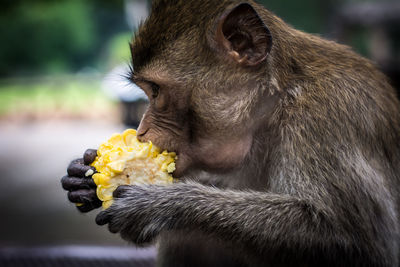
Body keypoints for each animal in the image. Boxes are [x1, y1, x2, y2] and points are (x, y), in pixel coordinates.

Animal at [61, 1, 400, 266]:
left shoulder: (326, 115)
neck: (277, 103)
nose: (142, 130)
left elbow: (351, 239)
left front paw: (161, 205)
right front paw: (83, 176)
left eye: (156, 90)